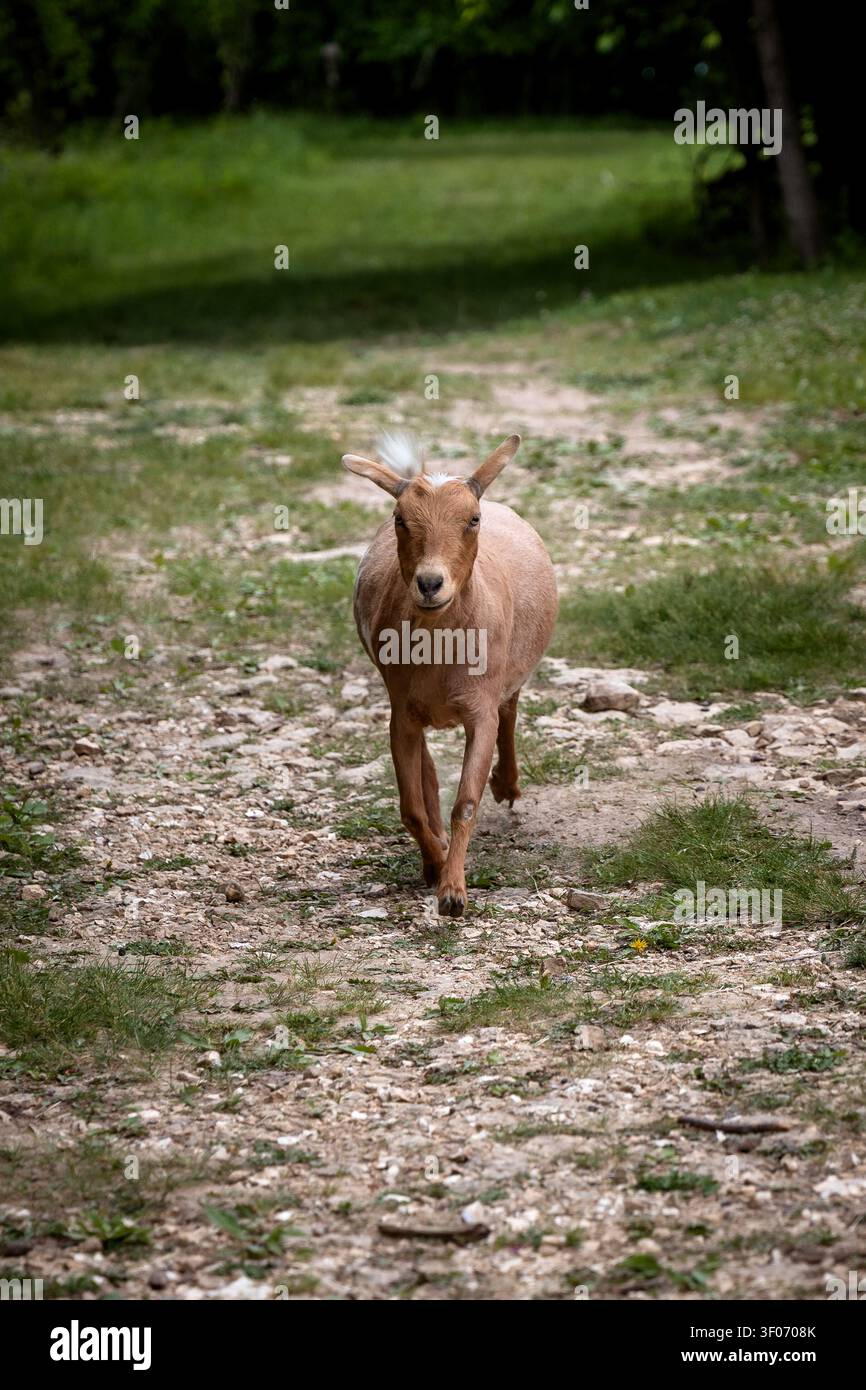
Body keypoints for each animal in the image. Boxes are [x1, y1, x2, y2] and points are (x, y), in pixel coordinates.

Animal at [343, 433, 557, 917]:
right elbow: (411, 807)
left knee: (510, 712)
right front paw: (437, 866)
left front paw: (454, 893)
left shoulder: (480, 709)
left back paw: (508, 786)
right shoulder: (402, 712)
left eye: (472, 519)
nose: (429, 584)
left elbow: (466, 803)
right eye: (400, 519)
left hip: (507, 677)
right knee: (426, 771)